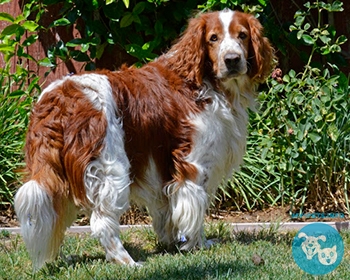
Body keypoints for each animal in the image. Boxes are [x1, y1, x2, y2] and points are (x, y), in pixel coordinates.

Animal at [14, 9, 274, 270]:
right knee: (102, 222)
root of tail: (58, 98)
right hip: (111, 170)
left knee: (53, 216)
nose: (232, 59)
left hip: (62, 175)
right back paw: (127, 261)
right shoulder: (193, 165)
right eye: (213, 38)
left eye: (242, 35)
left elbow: (167, 212)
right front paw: (198, 244)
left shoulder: (162, 171)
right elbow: (194, 210)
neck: (202, 81)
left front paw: (171, 243)